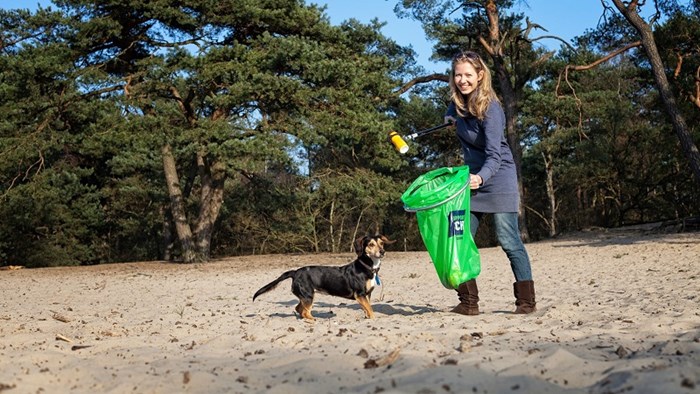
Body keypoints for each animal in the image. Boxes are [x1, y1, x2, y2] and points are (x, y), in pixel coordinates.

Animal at [253, 234, 394, 320]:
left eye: (381, 243)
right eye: (371, 244)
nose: (382, 252)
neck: (367, 266)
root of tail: (295, 272)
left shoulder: (367, 294)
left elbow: (367, 309)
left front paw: (367, 318)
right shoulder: (360, 294)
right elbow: (370, 309)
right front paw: (373, 318)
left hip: (305, 296)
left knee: (299, 309)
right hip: (308, 296)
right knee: (304, 311)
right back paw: (313, 320)